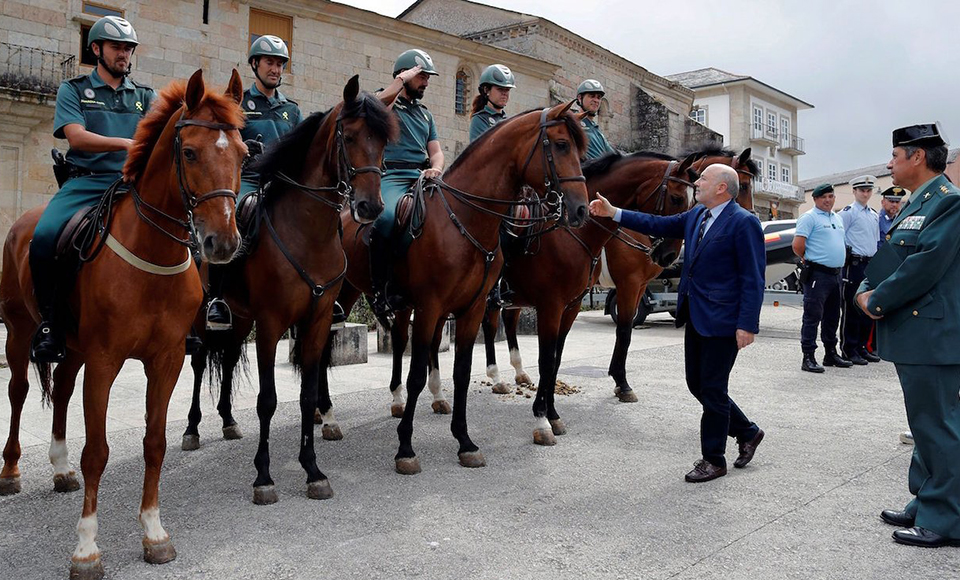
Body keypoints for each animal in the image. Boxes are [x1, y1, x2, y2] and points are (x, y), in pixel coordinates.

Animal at [1, 71, 248, 580]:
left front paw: (154, 533)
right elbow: (96, 452)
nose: (222, 242)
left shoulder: (167, 360)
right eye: (189, 152)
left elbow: (155, 443)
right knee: (18, 392)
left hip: (72, 348)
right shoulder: (104, 360)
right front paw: (86, 549)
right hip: (18, 333)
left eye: (242, 154)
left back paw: (59, 469)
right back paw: (11, 471)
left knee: (62, 391)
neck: (153, 255)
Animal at [178, 76, 396, 502]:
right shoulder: (272, 324)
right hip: (203, 318)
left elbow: (307, 395)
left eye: (383, 141)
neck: (308, 232)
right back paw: (193, 428)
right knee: (198, 365)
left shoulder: (317, 321)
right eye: (348, 135)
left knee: (229, 358)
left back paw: (227, 420)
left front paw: (312, 469)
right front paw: (263, 476)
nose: (370, 207)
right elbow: (267, 400)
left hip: (240, 318)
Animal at [318, 103, 588, 476]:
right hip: (339, 296)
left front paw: (465, 442)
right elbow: (417, 374)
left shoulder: (471, 309)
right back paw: (327, 415)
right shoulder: (431, 306)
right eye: (561, 145)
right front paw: (405, 448)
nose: (581, 209)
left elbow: (461, 372)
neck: (464, 220)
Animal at [478, 151, 696, 444]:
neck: (570, 233)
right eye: (676, 198)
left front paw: (552, 413)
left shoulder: (572, 307)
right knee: (488, 326)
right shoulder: (563, 303)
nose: (670, 255)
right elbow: (552, 357)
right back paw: (490, 379)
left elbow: (557, 359)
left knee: (507, 323)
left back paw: (516, 373)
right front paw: (543, 417)